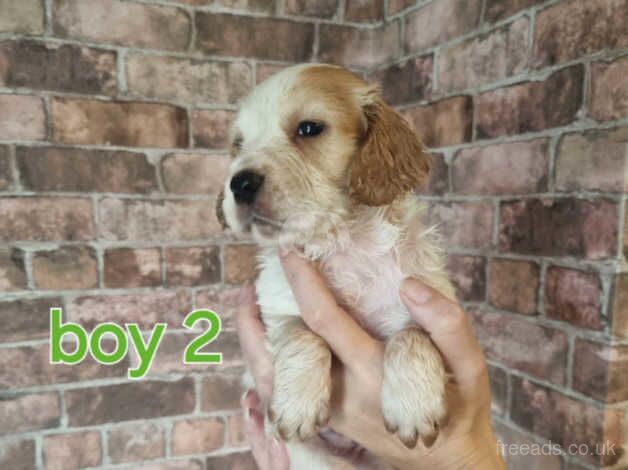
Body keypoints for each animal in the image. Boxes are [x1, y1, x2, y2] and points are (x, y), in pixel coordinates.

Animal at [218, 64, 454, 468]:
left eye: (308, 128)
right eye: (238, 144)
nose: (240, 183)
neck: (341, 240)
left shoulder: (430, 296)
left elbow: (412, 335)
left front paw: (413, 406)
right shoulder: (276, 307)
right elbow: (303, 334)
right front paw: (297, 405)